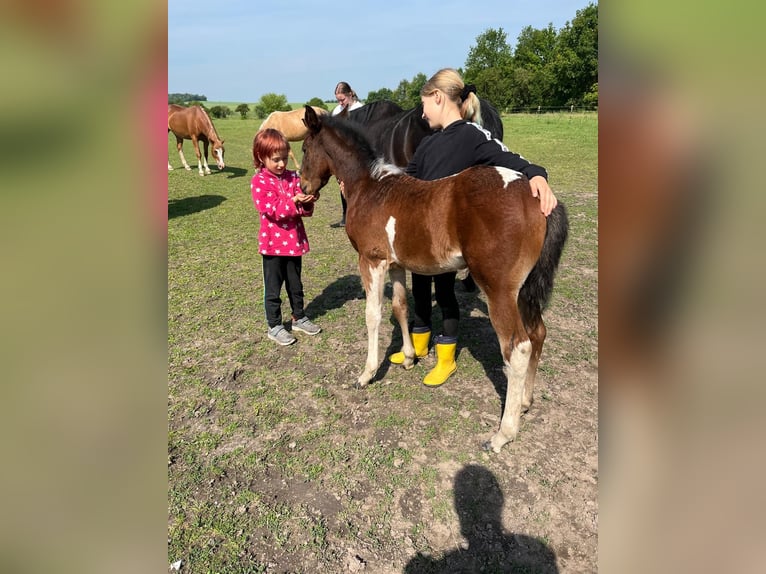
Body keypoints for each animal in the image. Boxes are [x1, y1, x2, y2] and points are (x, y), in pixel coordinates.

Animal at [300, 104, 568, 454]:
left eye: (305, 148)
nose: (303, 188)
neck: (370, 188)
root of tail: (536, 196)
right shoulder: (395, 264)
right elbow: (401, 307)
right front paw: (409, 357)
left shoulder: (372, 261)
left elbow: (372, 315)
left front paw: (366, 374)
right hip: (524, 290)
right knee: (538, 334)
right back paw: (524, 402)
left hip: (499, 289)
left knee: (518, 348)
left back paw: (503, 433)